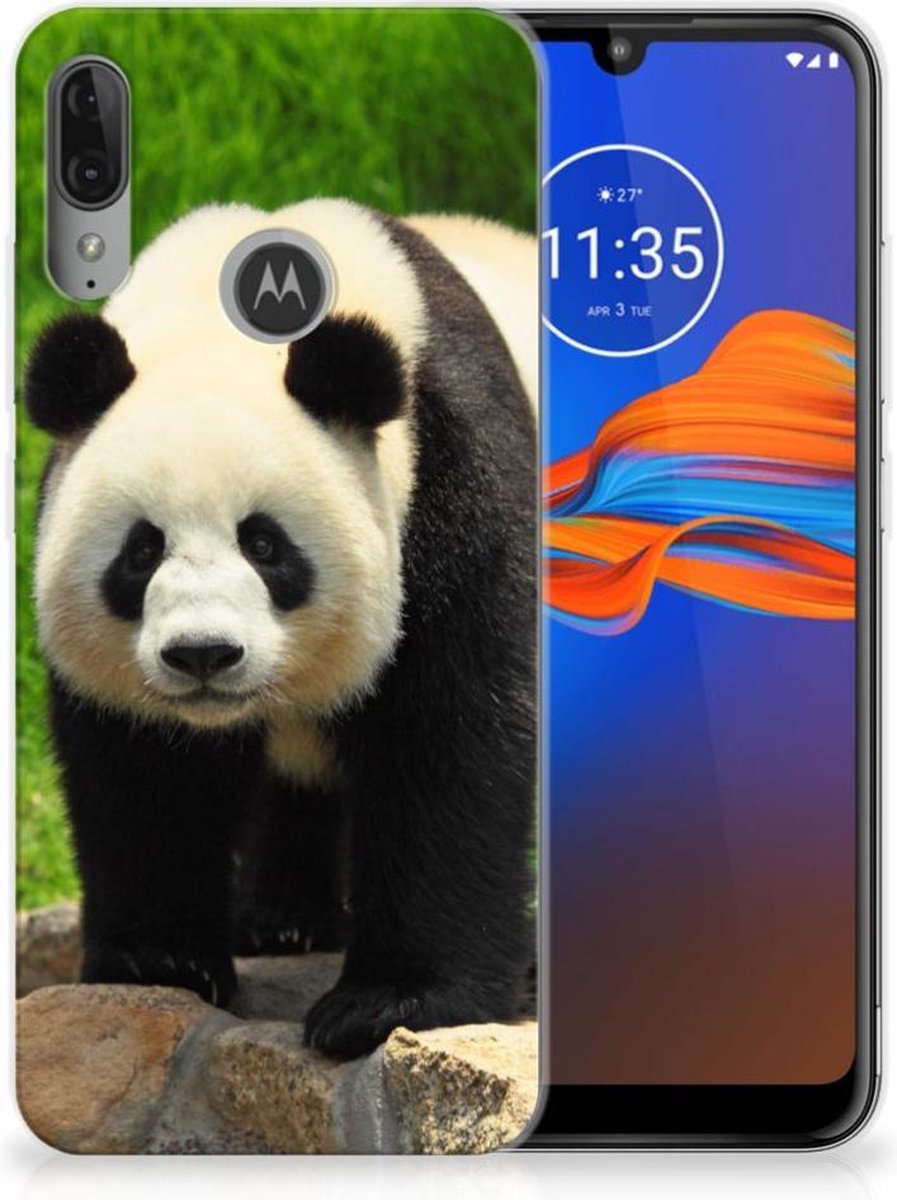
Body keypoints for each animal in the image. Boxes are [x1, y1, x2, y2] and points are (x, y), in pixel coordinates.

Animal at [24, 199, 536, 1059]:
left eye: (264, 545)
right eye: (141, 550)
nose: (202, 654)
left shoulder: (455, 479)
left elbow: (451, 736)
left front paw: (390, 1002)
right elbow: (143, 768)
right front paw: (160, 962)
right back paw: (282, 922)